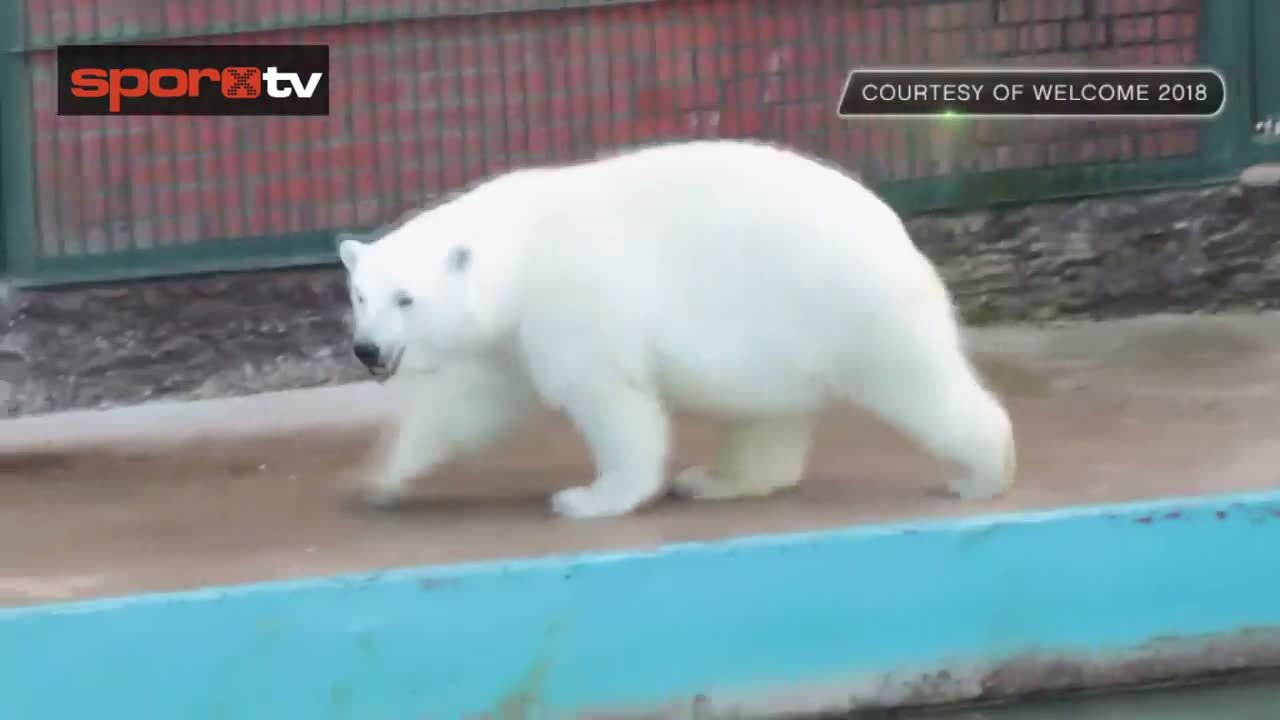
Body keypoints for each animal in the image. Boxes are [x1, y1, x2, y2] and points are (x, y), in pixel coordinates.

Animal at [336, 139, 1016, 520]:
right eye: (361, 294)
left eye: (407, 299)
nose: (367, 350)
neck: (520, 248)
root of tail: (897, 229)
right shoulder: (513, 337)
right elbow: (472, 406)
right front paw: (379, 477)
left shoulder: (573, 304)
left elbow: (613, 404)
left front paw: (589, 500)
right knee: (767, 417)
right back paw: (715, 480)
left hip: (848, 304)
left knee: (919, 384)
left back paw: (981, 474)